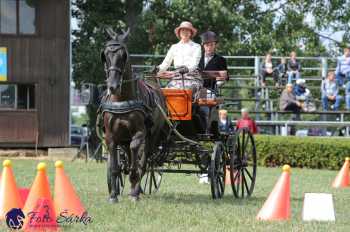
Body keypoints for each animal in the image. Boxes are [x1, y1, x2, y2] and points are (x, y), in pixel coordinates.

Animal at [100, 26, 167, 201]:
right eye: (105, 55)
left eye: (124, 55)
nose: (113, 86)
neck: (122, 98)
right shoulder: (111, 136)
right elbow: (115, 167)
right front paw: (113, 195)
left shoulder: (139, 133)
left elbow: (136, 156)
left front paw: (134, 188)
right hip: (124, 137)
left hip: (152, 136)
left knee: (143, 161)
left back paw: (136, 190)